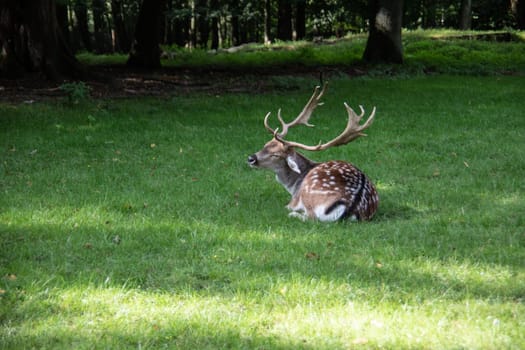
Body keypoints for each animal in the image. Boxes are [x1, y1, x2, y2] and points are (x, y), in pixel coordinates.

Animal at [248, 83, 378, 221]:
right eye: (265, 144)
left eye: (276, 155)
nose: (251, 158)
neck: (293, 186)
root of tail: (351, 205)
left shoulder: (294, 200)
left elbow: (287, 207)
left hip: (309, 193)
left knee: (311, 217)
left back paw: (293, 214)